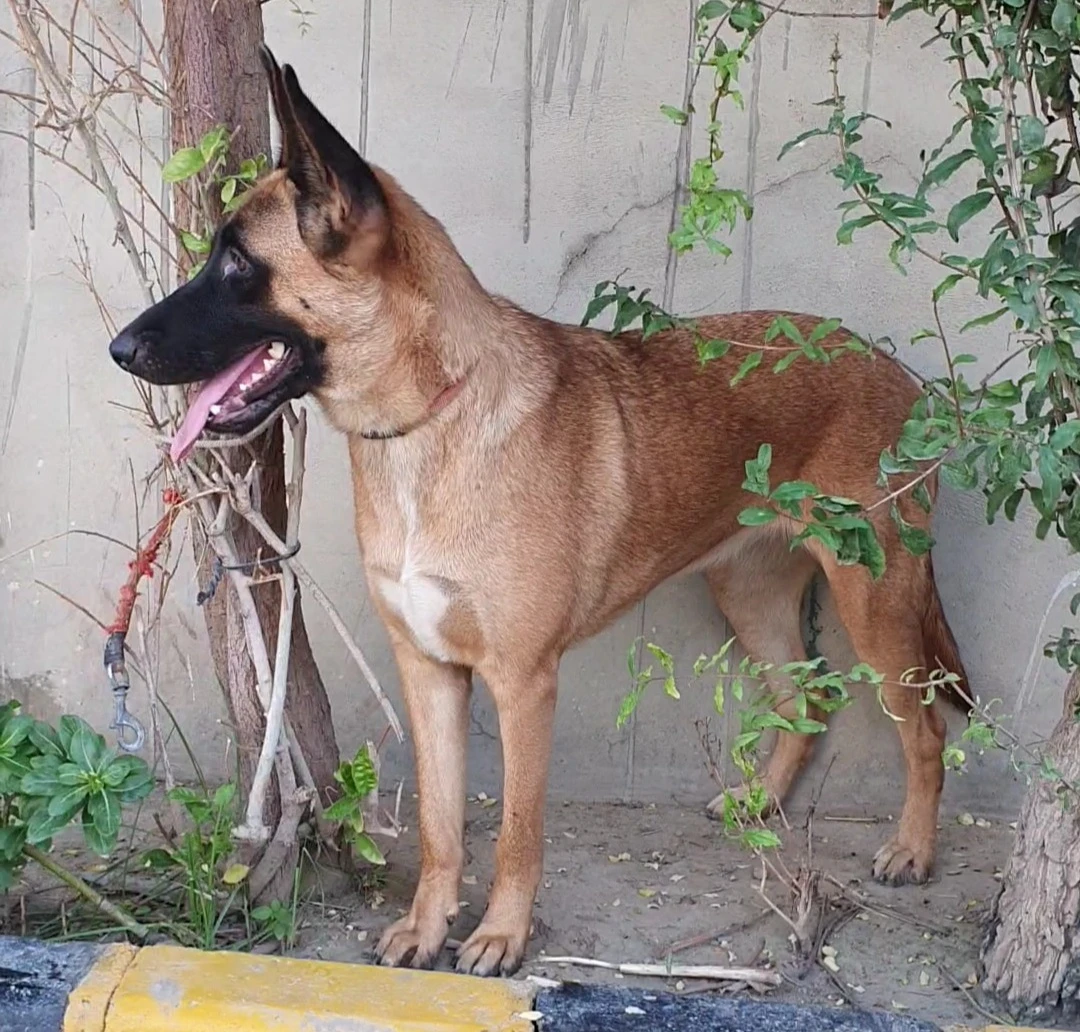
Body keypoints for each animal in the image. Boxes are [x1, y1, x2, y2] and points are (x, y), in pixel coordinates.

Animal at [109, 44, 967, 971]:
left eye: (236, 263)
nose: (118, 348)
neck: (431, 418)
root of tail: (900, 375)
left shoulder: (524, 684)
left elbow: (518, 831)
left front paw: (500, 935)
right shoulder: (429, 672)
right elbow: (443, 825)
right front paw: (429, 927)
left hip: (877, 604)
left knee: (924, 734)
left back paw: (912, 849)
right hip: (749, 593)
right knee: (804, 702)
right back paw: (757, 806)